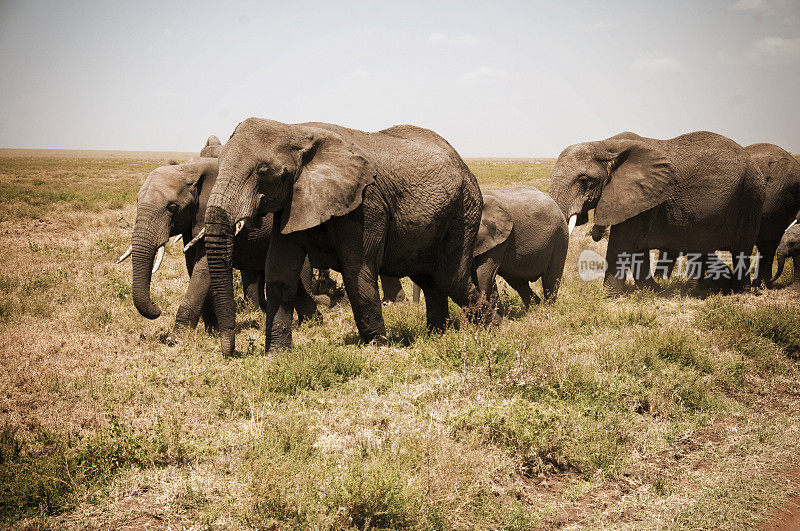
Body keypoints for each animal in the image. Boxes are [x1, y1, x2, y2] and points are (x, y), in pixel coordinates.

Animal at [119, 155, 318, 344]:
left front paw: (175, 339)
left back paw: (309, 324)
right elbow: (193, 267)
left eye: (173, 208)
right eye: (137, 201)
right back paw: (309, 322)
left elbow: (203, 269)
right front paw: (212, 332)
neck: (189, 169)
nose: (156, 306)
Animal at [203, 118, 490, 356]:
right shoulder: (291, 203)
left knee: (452, 278)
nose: (231, 353)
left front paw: (377, 349)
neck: (296, 129)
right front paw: (276, 356)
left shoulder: (365, 204)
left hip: (464, 212)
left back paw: (489, 332)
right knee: (431, 281)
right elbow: (279, 272)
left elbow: (357, 271)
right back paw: (437, 336)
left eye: (264, 171)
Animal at [472, 187, 572, 320]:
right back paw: (535, 309)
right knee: (518, 282)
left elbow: (483, 274)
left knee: (550, 280)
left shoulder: (498, 240)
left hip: (560, 237)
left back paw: (548, 311)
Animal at [552, 129, 764, 296]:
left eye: (584, 180)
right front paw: (652, 290)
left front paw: (610, 296)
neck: (606, 145)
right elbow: (637, 245)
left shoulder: (644, 197)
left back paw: (741, 293)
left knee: (742, 249)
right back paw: (695, 291)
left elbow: (623, 242)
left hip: (750, 197)